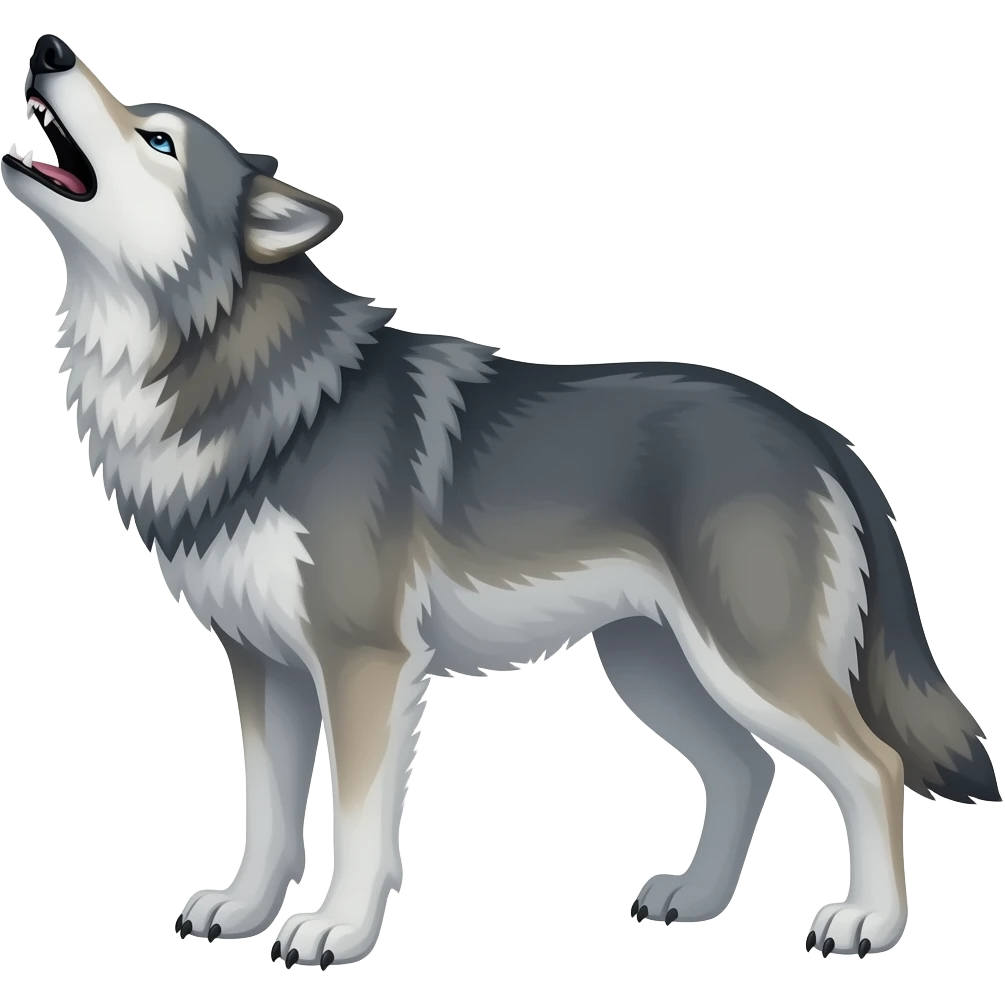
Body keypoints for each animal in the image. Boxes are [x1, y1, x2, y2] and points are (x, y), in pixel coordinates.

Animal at [4, 32, 999, 969]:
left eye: (158, 138)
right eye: (141, 118)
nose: (48, 49)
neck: (225, 373)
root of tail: (815, 428)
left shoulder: (365, 664)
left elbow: (357, 826)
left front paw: (335, 930)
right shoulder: (264, 668)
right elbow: (267, 816)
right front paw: (246, 913)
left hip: (746, 665)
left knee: (873, 766)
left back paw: (867, 922)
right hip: (654, 668)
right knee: (748, 770)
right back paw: (696, 898)